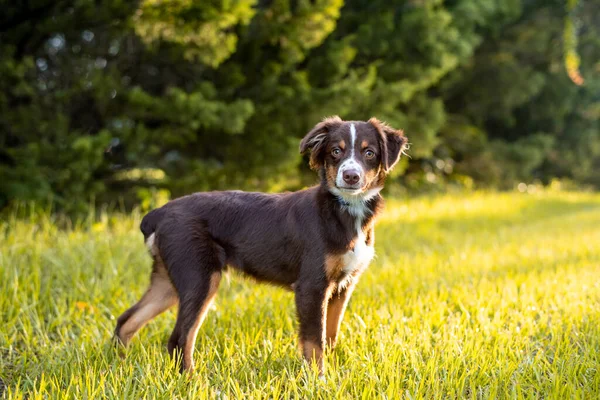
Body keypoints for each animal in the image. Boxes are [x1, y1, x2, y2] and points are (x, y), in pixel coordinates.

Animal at [113, 115, 408, 376]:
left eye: (369, 153)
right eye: (336, 151)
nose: (350, 176)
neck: (343, 211)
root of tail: (159, 213)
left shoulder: (343, 285)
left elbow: (330, 336)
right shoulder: (312, 286)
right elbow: (314, 341)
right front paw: (318, 380)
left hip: (169, 280)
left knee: (127, 320)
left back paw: (119, 365)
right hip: (199, 277)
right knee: (179, 338)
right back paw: (191, 380)